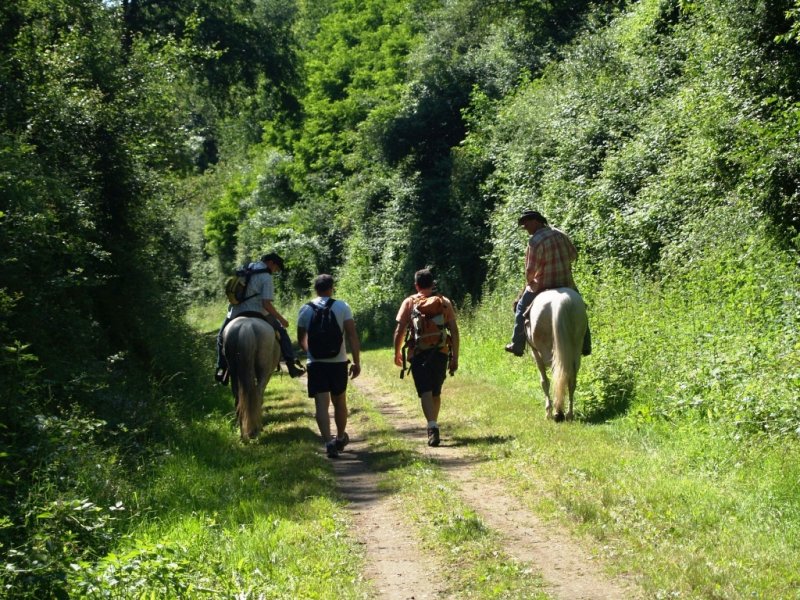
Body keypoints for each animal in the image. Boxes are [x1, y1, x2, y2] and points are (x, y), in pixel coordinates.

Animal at [524, 290, 588, 422]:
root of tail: (561, 301)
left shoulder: (535, 353)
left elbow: (544, 381)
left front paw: (548, 412)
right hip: (575, 349)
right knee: (571, 379)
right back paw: (568, 414)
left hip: (546, 350)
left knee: (555, 376)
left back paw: (557, 412)